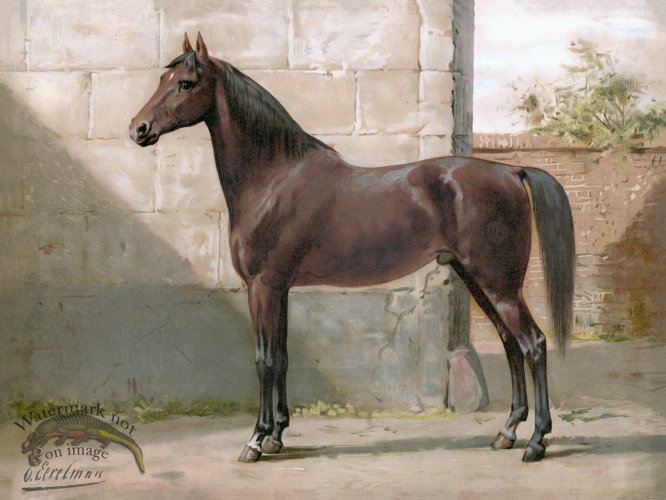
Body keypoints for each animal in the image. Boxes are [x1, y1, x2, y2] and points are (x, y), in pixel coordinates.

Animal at [130, 33, 574, 463]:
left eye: (186, 83)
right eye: (162, 78)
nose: (138, 128)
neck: (274, 179)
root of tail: (511, 171)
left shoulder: (263, 287)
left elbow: (265, 360)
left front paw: (256, 440)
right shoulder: (281, 289)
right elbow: (284, 358)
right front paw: (277, 435)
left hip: (498, 284)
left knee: (533, 344)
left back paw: (536, 442)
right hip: (479, 281)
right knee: (510, 344)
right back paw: (507, 433)